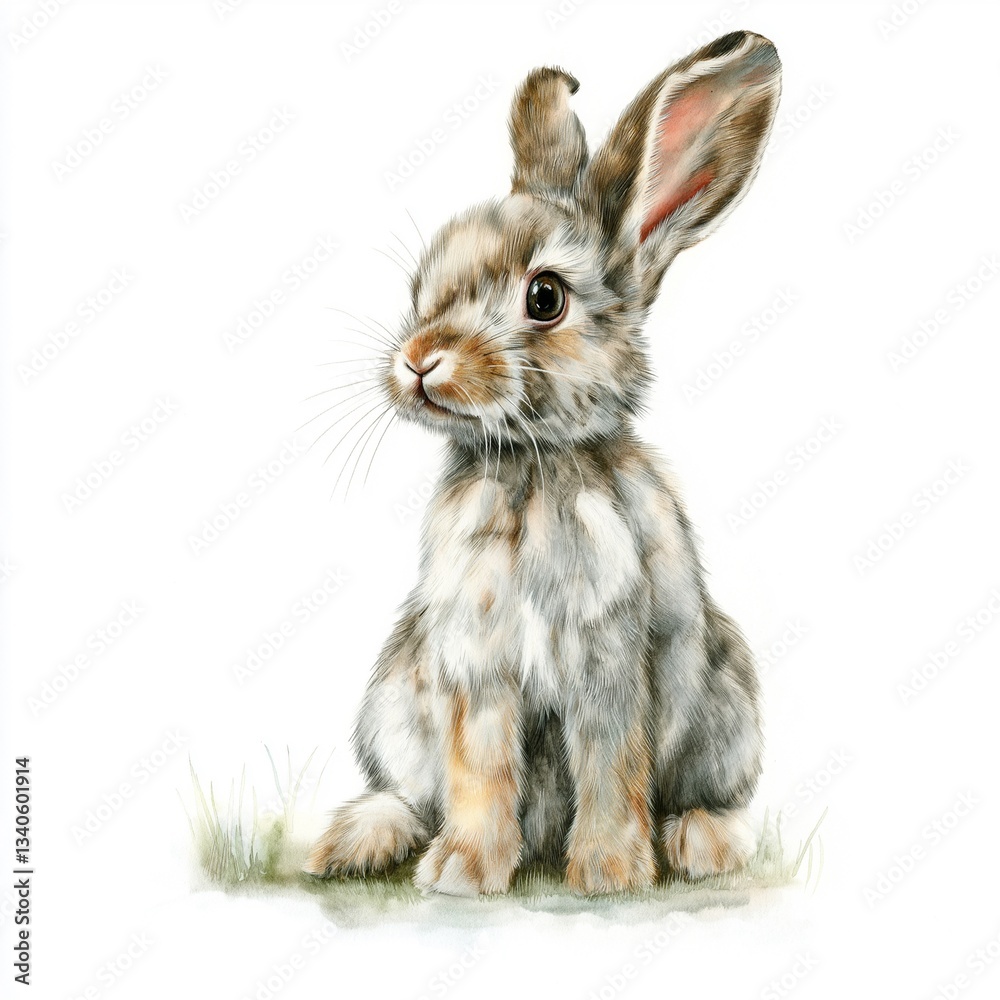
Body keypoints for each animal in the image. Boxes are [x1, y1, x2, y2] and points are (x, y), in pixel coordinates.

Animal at [306, 30, 782, 896]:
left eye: (546, 298)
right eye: (425, 280)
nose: (419, 361)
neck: (529, 465)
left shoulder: (607, 654)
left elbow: (609, 759)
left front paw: (609, 871)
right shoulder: (474, 662)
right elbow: (480, 765)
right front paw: (462, 871)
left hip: (729, 709)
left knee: (710, 795)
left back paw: (701, 843)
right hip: (394, 697)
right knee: (407, 791)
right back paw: (357, 840)